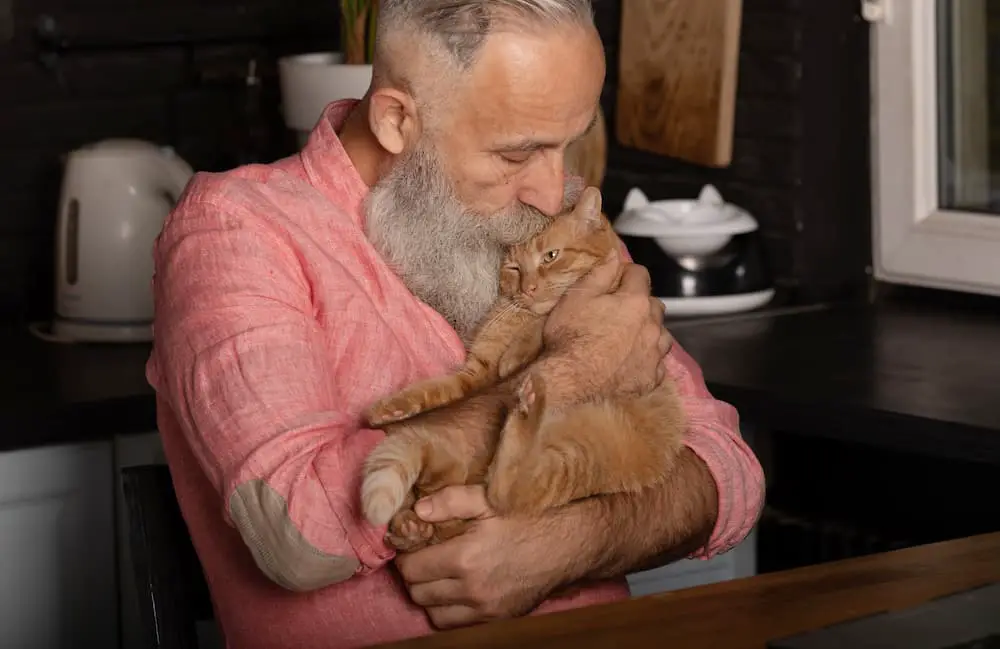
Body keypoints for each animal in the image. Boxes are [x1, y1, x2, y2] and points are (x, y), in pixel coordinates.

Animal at [362, 187, 688, 552]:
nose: (528, 288)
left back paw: (529, 407)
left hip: (583, 454)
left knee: (509, 493)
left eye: (551, 256)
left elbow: (543, 324)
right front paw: (392, 409)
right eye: (515, 269)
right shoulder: (476, 376)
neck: (518, 318)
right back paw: (411, 527)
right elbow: (434, 389)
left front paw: (520, 348)